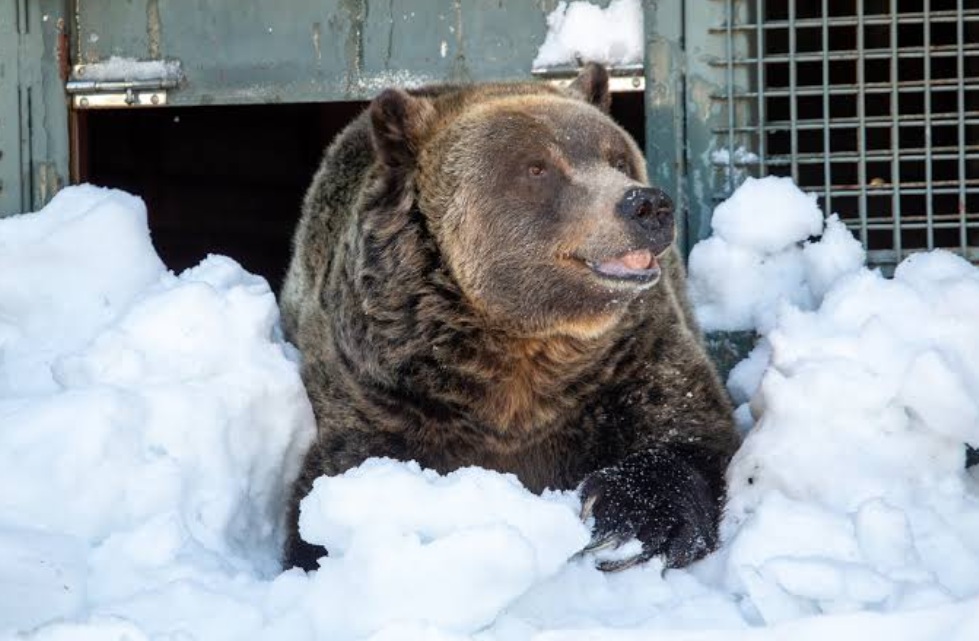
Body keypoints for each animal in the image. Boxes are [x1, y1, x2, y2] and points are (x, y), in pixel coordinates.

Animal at [280, 64, 740, 573]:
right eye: (537, 167)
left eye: (618, 158)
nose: (646, 205)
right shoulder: (383, 385)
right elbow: (337, 475)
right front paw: (322, 548)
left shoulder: (630, 358)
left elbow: (686, 432)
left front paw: (628, 526)